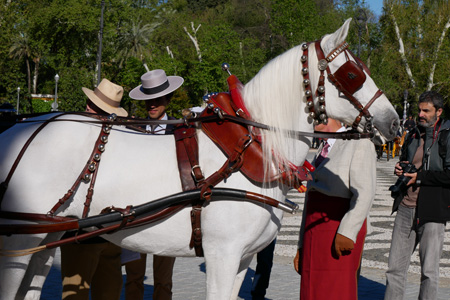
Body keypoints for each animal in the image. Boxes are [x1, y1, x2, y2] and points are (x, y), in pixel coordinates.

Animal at [0, 19, 400, 300]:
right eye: (353, 74)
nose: (394, 121)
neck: (247, 148)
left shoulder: (242, 259)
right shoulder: (223, 254)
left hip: (48, 235)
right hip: (18, 240)